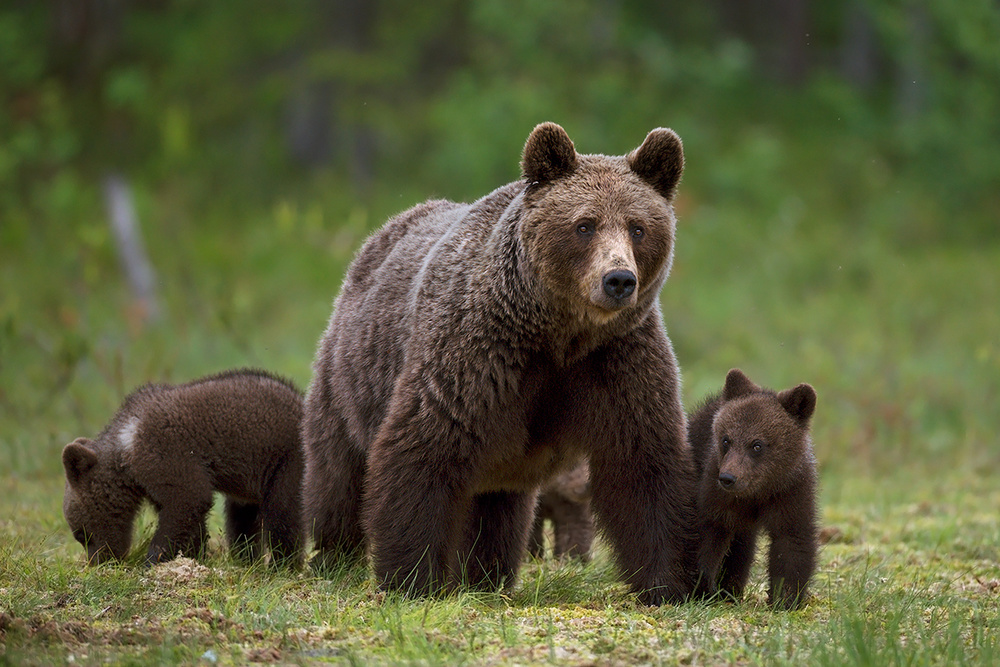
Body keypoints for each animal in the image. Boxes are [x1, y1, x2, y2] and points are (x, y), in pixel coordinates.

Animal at [302, 121, 696, 604]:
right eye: (584, 225)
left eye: (638, 228)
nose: (619, 280)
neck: (558, 333)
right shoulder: (477, 353)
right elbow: (423, 450)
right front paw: (411, 578)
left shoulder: (617, 359)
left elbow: (644, 466)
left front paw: (668, 583)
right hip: (352, 374)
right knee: (338, 472)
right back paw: (334, 555)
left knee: (498, 507)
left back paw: (488, 575)